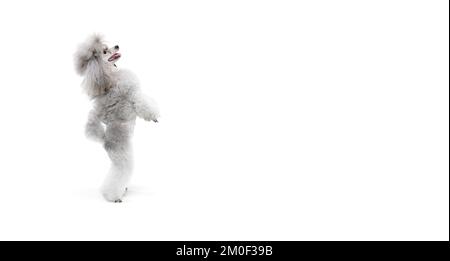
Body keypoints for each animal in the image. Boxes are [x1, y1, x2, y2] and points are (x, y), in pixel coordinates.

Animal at [73, 34, 158, 201]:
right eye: (105, 52)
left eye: (108, 48)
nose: (117, 46)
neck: (108, 75)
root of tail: (105, 141)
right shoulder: (133, 93)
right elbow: (143, 103)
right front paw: (154, 116)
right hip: (123, 157)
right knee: (119, 173)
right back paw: (113, 196)